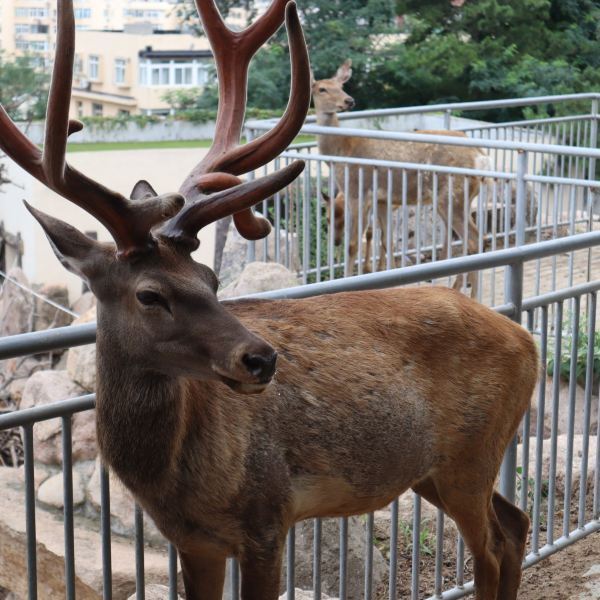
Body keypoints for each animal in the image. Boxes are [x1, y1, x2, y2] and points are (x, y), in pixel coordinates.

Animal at [312, 60, 490, 292]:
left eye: (341, 87)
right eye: (322, 89)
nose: (348, 100)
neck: (342, 153)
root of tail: (481, 156)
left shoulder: (357, 191)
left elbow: (353, 245)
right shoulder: (381, 200)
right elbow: (387, 242)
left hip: (452, 196)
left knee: (474, 241)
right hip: (463, 198)